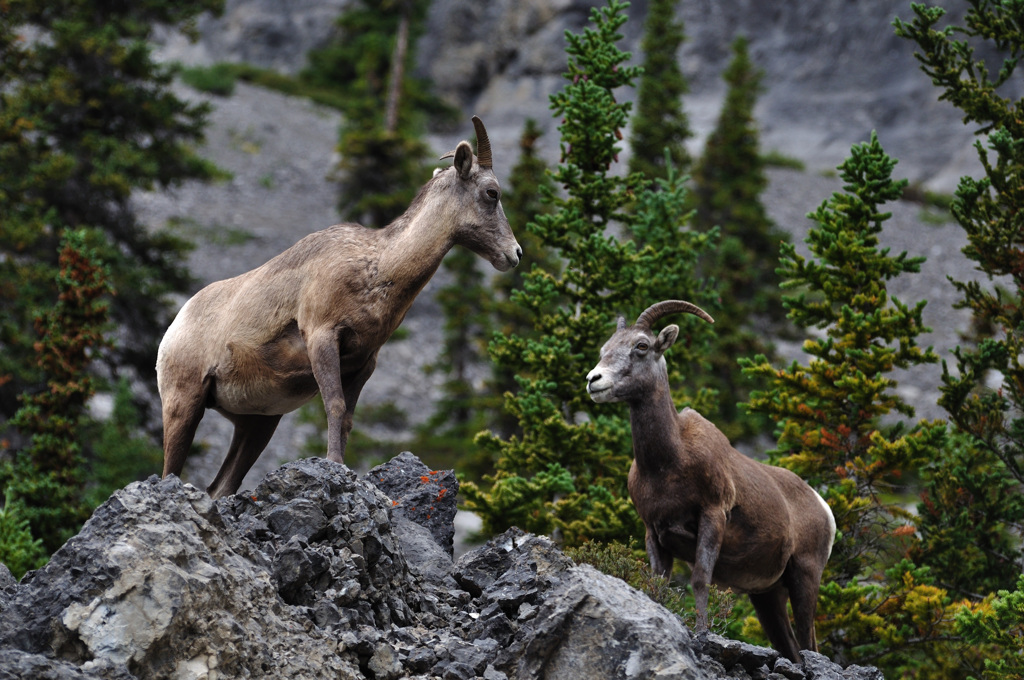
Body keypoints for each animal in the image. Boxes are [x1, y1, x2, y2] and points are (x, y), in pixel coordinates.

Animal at [156, 116, 520, 499]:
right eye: (492, 193)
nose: (515, 254)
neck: (378, 270)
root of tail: (174, 329)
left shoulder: (362, 365)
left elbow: (346, 419)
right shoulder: (322, 338)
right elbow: (334, 406)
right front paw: (334, 466)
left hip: (257, 425)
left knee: (220, 488)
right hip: (184, 405)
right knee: (170, 472)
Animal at [589, 301, 835, 659]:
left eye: (642, 346)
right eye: (604, 349)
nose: (594, 380)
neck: (668, 464)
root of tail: (823, 508)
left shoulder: (712, 517)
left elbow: (700, 580)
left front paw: (702, 635)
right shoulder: (653, 532)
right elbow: (658, 584)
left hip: (805, 577)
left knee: (807, 640)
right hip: (767, 596)